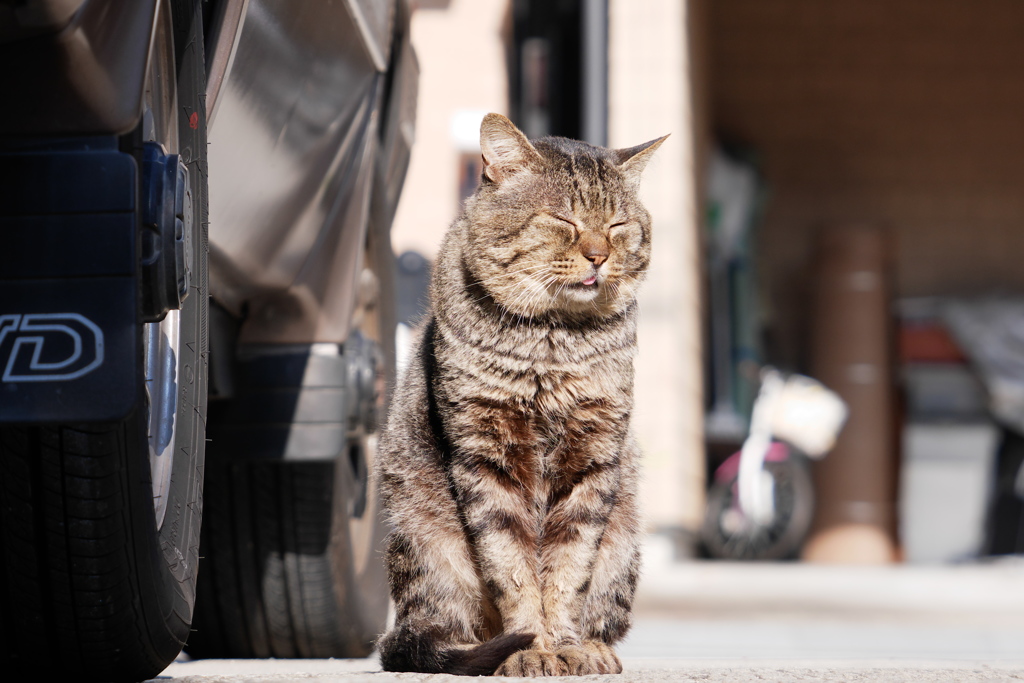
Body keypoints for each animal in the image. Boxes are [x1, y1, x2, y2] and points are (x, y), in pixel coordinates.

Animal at [376, 113, 663, 679]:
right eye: (563, 220)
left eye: (618, 226)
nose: (598, 255)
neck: (554, 342)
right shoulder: (485, 457)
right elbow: (511, 568)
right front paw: (530, 648)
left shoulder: (595, 456)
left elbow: (569, 570)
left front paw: (566, 644)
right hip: (425, 539)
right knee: (442, 634)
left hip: (623, 543)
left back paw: (597, 647)